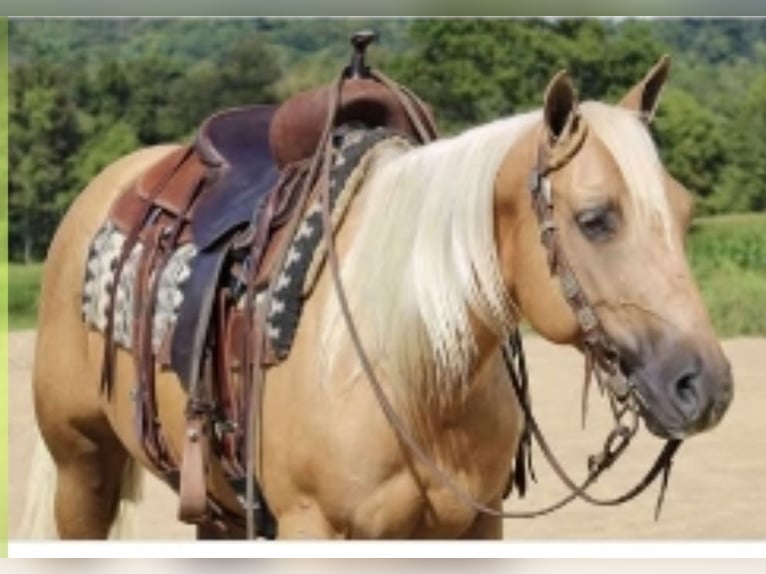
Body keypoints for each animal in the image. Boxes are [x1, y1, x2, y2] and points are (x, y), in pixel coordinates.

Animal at [22, 54, 733, 540]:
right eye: (595, 219)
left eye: (685, 213)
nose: (705, 386)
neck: (411, 369)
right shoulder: (314, 527)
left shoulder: (473, 528)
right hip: (82, 466)